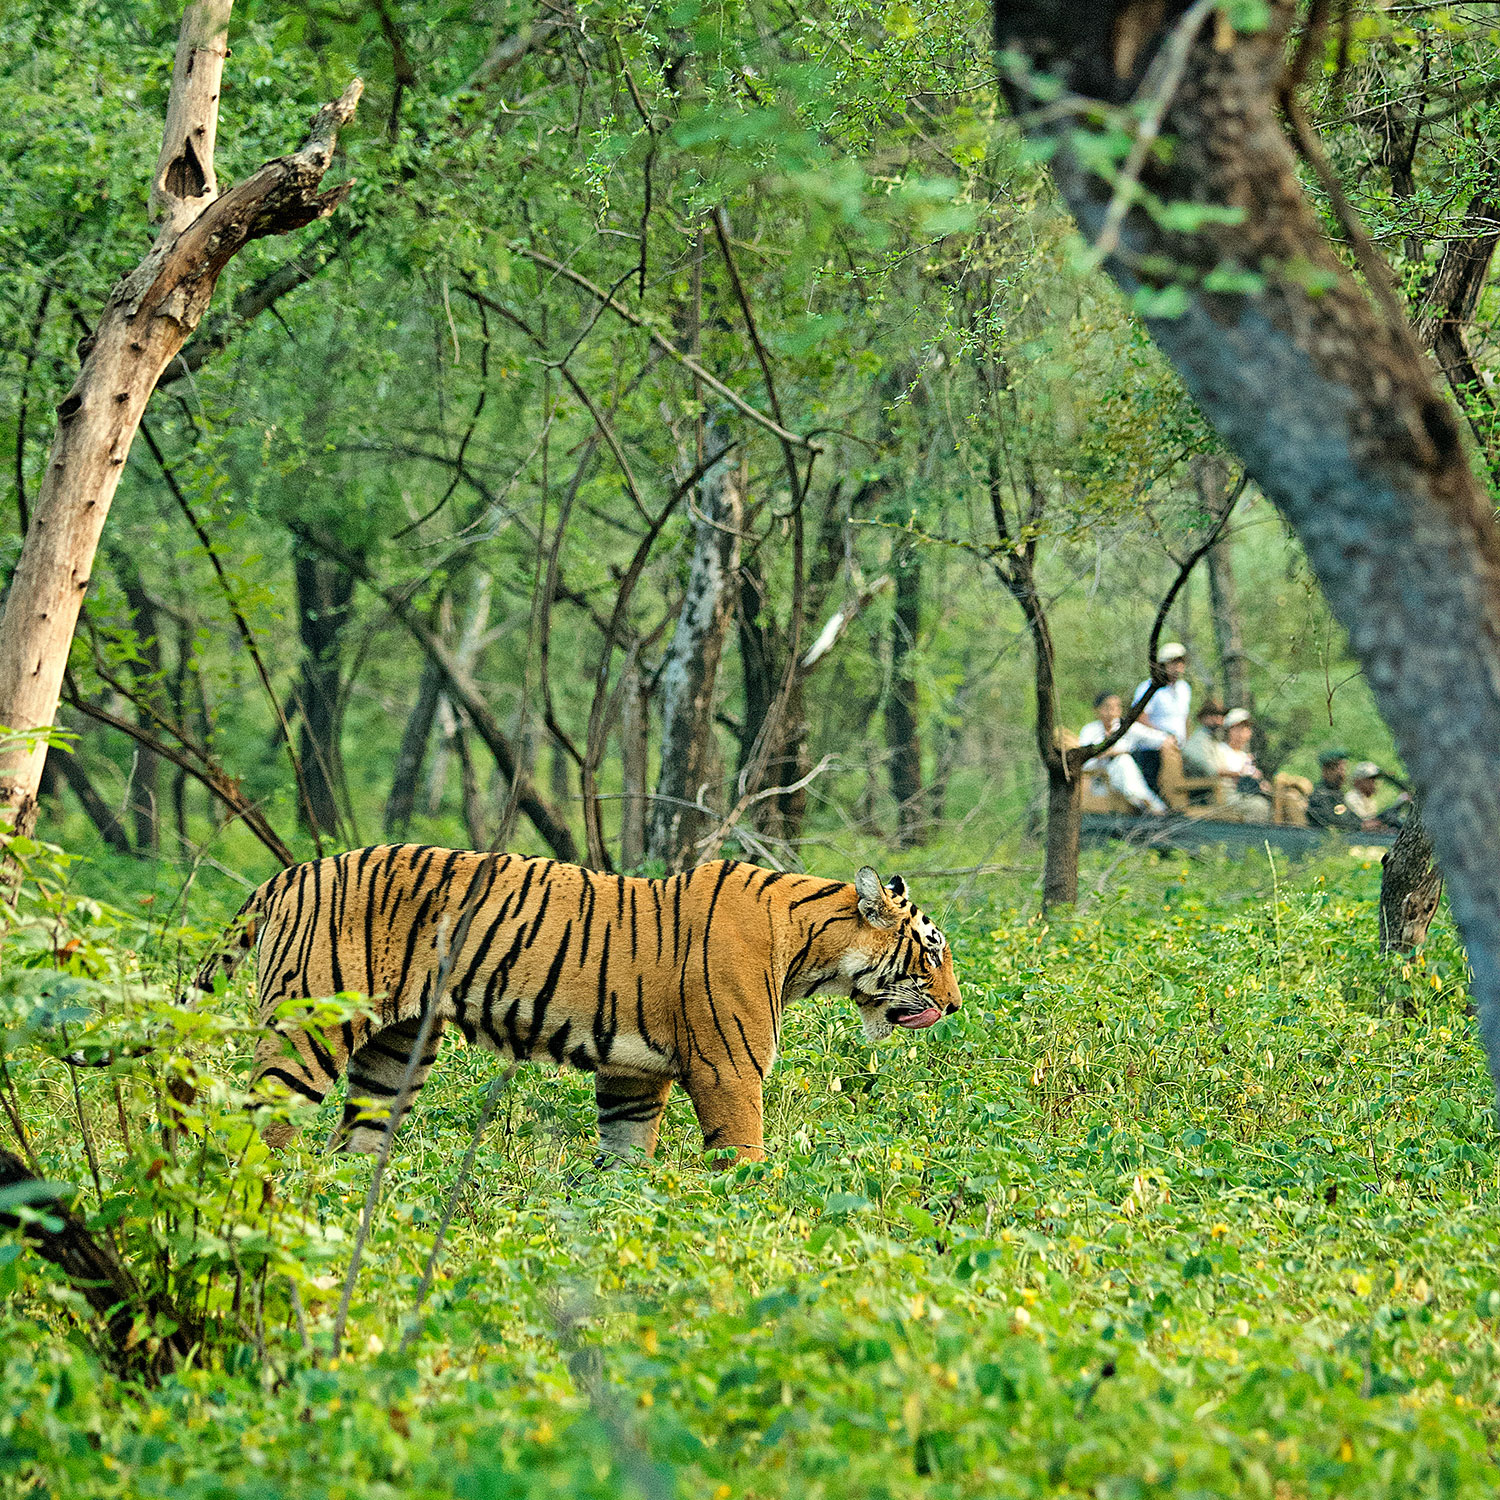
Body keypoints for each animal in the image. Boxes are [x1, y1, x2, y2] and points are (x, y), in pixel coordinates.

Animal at [196, 846, 960, 1158]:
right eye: (933, 949)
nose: (954, 1007)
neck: (809, 946)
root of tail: (291, 871)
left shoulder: (634, 1076)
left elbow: (623, 1165)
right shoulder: (729, 1071)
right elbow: (744, 1158)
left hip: (394, 1049)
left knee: (356, 1137)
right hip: (308, 1028)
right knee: (259, 1120)